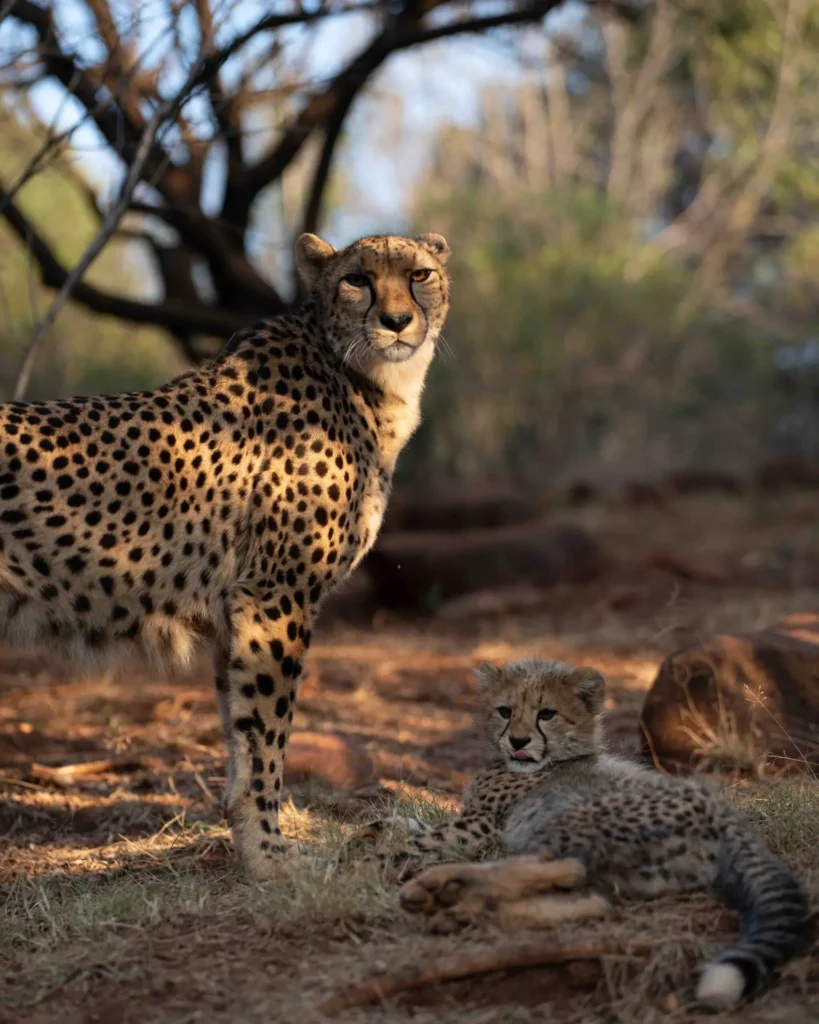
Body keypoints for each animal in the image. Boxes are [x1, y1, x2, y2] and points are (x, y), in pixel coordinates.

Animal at [0, 230, 450, 880]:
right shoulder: (274, 598)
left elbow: (241, 734)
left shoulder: (235, 610)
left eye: (419, 274)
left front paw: (252, 844)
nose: (395, 321)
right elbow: (267, 738)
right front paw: (270, 854)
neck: (360, 376)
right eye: (357, 280)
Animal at [358, 658, 810, 1009]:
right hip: (634, 868)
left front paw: (372, 861)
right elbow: (399, 825)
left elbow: (422, 840)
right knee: (593, 899)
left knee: (561, 866)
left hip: (569, 817)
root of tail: (729, 816)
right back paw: (463, 909)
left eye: (546, 714)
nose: (518, 741)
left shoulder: (483, 826)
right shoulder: (469, 817)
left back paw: (442, 891)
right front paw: (360, 836)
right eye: (504, 710)